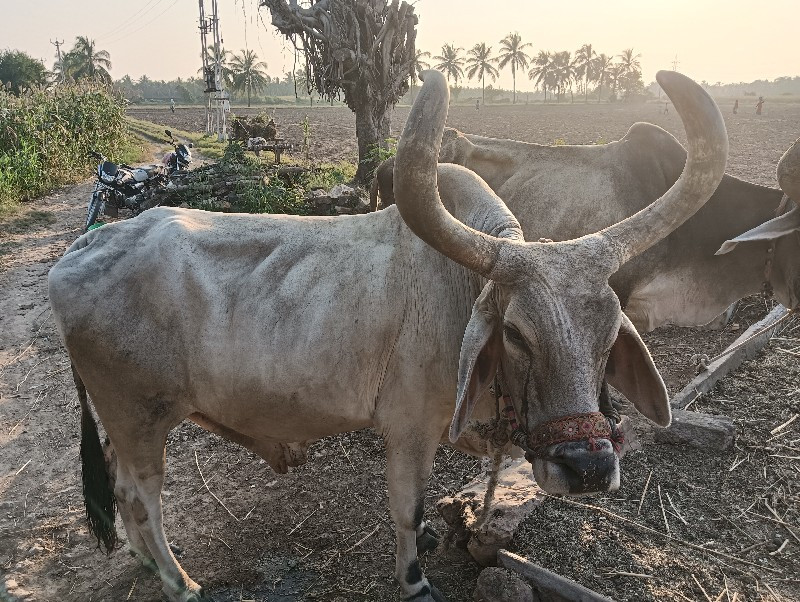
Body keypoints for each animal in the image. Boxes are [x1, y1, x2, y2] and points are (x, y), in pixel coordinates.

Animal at [47, 70, 728, 600]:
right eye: (515, 332)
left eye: (611, 330)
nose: (587, 467)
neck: (460, 289)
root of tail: (83, 249)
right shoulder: (408, 430)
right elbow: (407, 510)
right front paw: (415, 577)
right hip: (140, 417)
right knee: (143, 498)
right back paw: (178, 580)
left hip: (125, 424)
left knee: (120, 488)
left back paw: (144, 563)